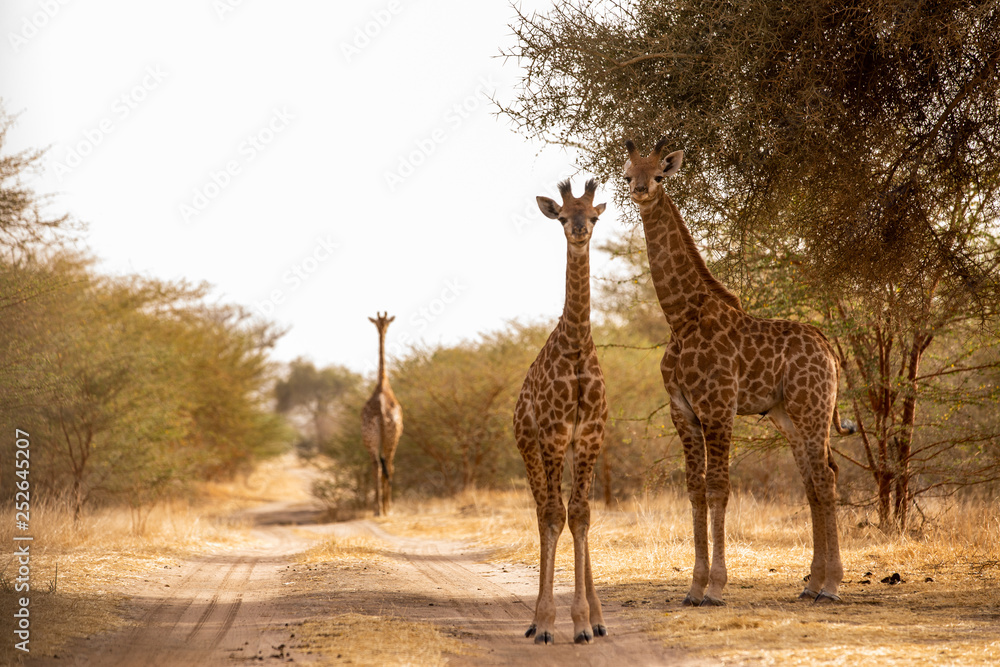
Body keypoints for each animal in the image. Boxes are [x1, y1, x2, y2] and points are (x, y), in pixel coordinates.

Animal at [622, 138, 856, 605]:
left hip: (812, 407)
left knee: (824, 476)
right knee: (814, 479)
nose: (640, 191)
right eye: (627, 174)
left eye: (658, 174)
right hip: (787, 415)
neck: (681, 318)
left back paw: (831, 586)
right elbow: (694, 488)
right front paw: (693, 588)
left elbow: (718, 487)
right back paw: (812, 584)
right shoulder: (683, 412)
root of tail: (828, 347)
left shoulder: (718, 408)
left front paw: (714, 587)